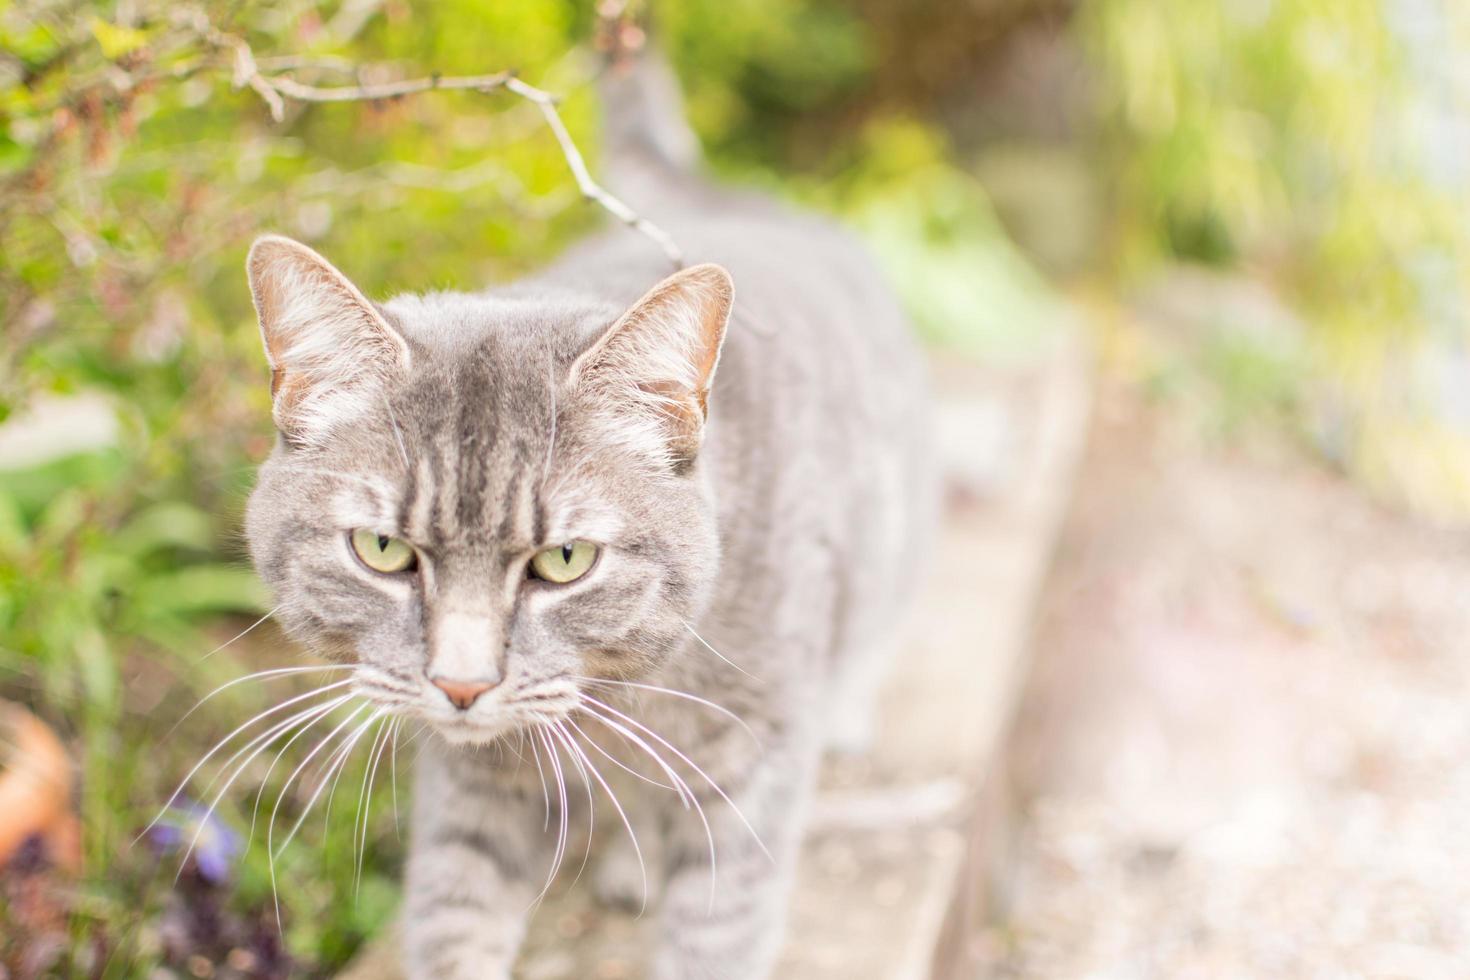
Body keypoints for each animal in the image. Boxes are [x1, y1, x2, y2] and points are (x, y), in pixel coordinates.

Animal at [241, 51, 929, 980]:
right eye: (382, 549)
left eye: (564, 560)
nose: (462, 684)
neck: (617, 696)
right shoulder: (476, 786)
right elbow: (455, 916)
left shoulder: (752, 767)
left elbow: (719, 931)